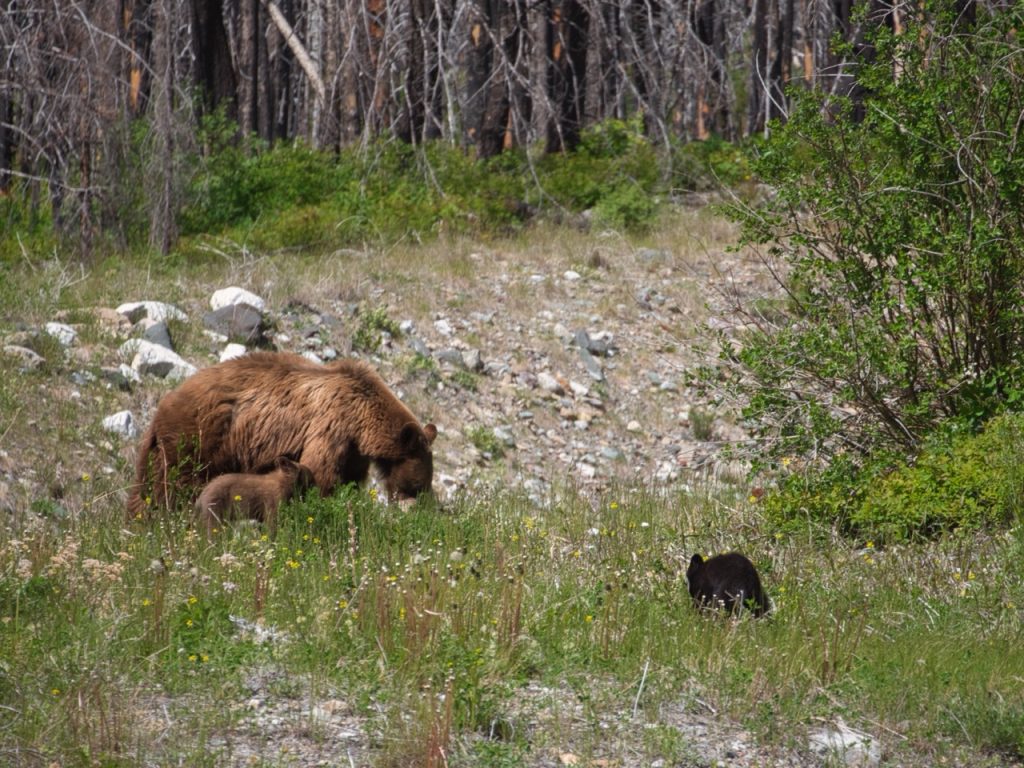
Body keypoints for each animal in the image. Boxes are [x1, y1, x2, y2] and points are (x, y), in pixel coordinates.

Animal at [126, 352, 437, 518]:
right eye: (418, 484)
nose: (422, 507)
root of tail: (162, 406)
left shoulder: (353, 450)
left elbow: (347, 480)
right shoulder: (330, 427)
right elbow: (321, 474)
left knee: (146, 486)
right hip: (196, 437)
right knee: (172, 482)